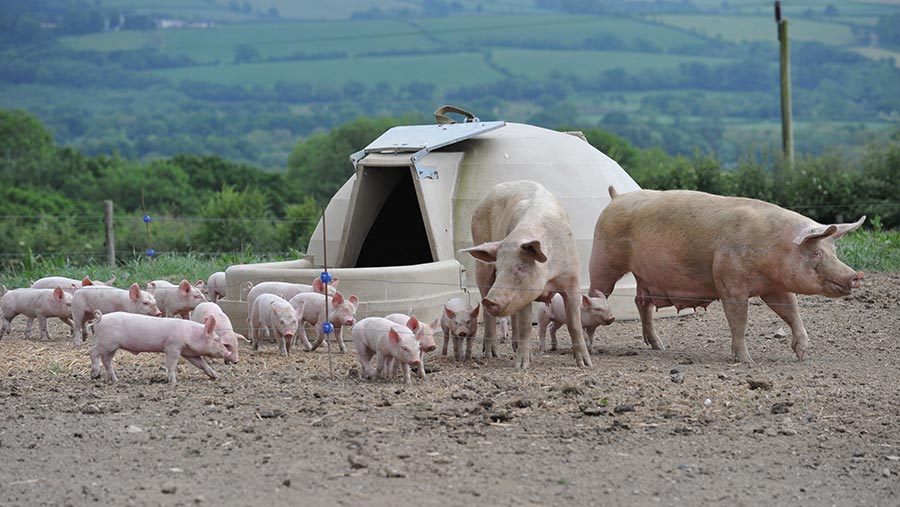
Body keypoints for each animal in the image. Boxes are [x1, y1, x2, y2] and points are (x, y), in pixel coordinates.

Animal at [89, 310, 229, 384]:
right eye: (217, 339)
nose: (227, 353)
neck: (191, 334)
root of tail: (100, 319)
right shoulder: (172, 347)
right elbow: (171, 364)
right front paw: (173, 382)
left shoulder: (188, 353)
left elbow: (201, 364)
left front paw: (216, 376)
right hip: (106, 343)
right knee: (93, 352)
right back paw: (94, 375)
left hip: (112, 347)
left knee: (106, 360)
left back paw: (115, 380)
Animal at [460, 182, 596, 370]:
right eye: (499, 268)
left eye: (521, 267)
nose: (490, 301)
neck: (547, 277)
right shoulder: (523, 293)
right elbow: (526, 326)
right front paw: (521, 366)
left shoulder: (571, 281)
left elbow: (574, 325)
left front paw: (585, 364)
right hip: (481, 260)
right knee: (488, 313)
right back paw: (491, 354)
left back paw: (513, 346)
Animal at [592, 189, 864, 364]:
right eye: (817, 252)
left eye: (834, 251)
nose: (856, 275)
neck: (773, 247)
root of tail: (616, 197)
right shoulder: (731, 284)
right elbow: (739, 322)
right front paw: (746, 361)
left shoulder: (774, 287)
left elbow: (791, 311)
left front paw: (801, 354)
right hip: (604, 259)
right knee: (597, 294)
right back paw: (593, 348)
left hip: (645, 276)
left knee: (641, 302)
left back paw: (660, 346)